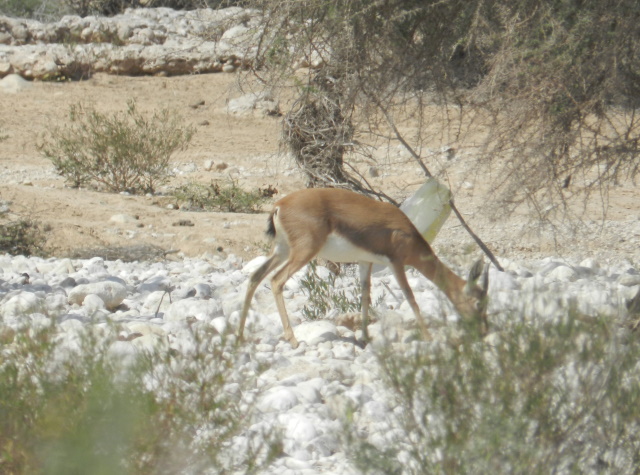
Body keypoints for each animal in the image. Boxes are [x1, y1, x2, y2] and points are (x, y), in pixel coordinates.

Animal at [239, 188, 489, 348]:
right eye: (478, 303)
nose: (483, 331)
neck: (406, 233)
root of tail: (279, 205)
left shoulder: (365, 261)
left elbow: (365, 295)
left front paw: (366, 337)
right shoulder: (397, 264)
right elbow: (411, 298)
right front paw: (428, 338)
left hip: (281, 250)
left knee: (255, 277)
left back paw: (240, 336)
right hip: (302, 253)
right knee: (276, 281)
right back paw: (292, 340)